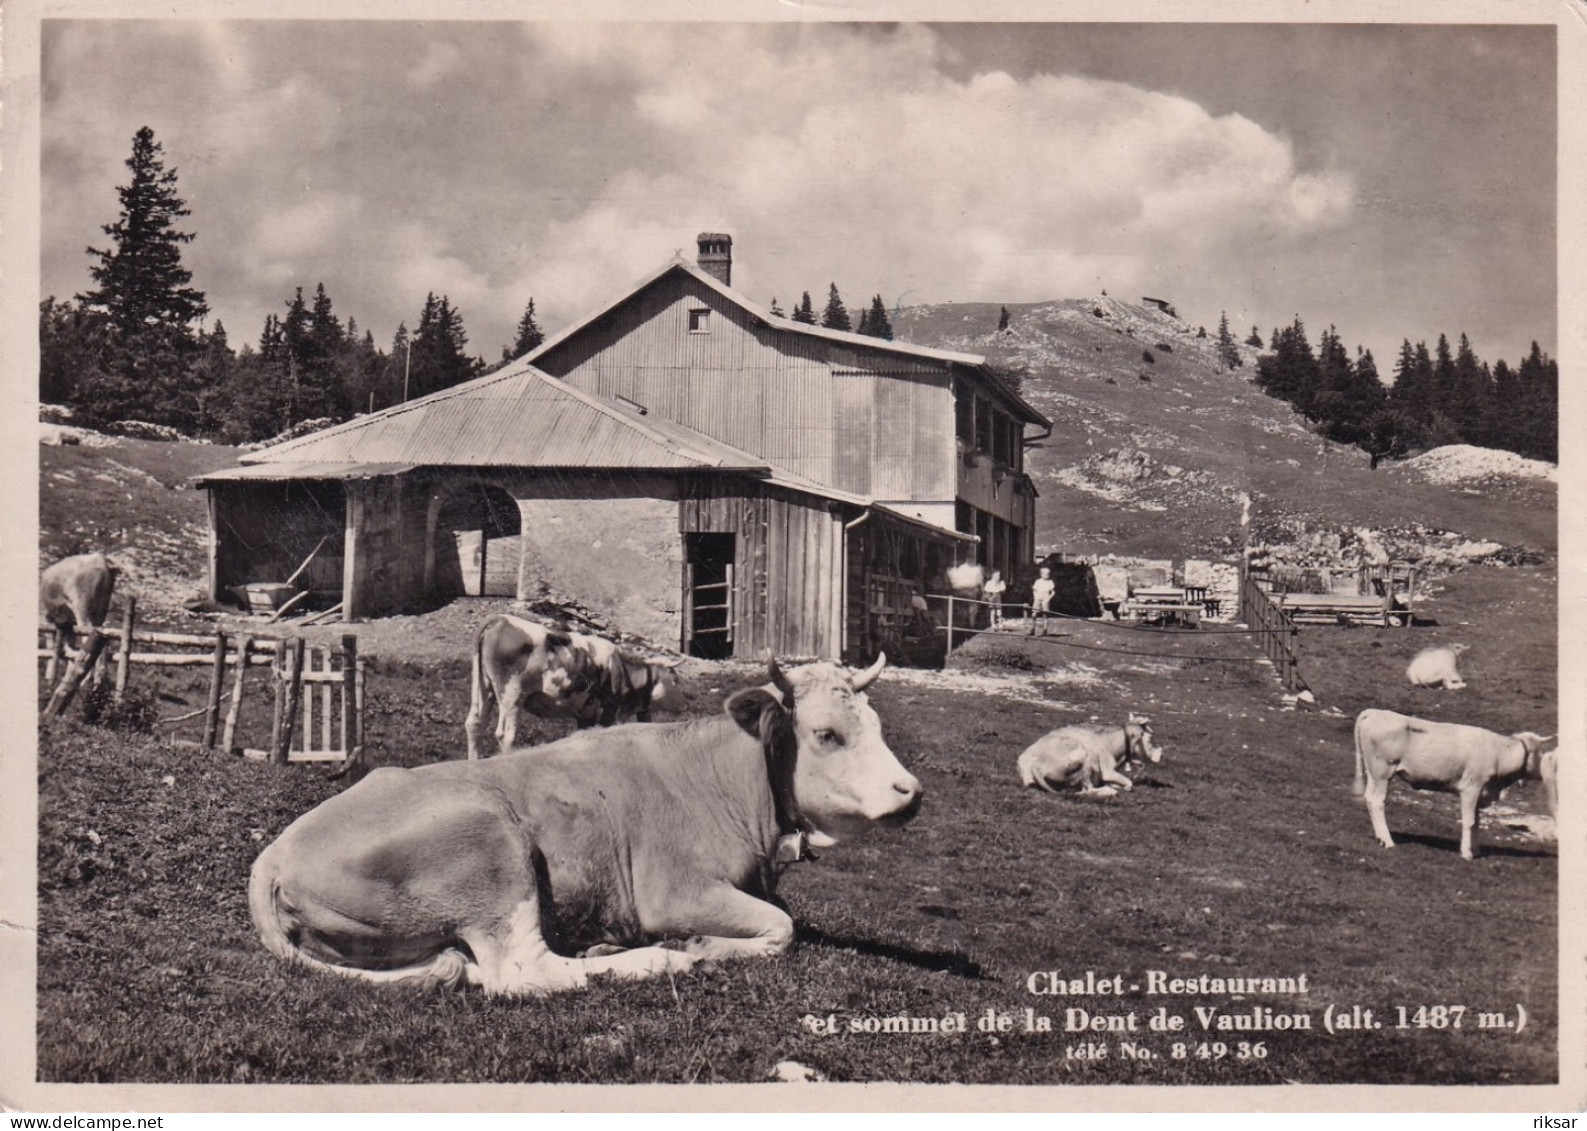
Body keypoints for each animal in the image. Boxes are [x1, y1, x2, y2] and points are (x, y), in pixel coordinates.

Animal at [244, 647, 920, 989]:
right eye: (827, 734)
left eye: (876, 725)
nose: (910, 792)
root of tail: (272, 856)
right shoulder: (673, 892)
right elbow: (783, 928)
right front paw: (696, 944)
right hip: (492, 847)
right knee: (523, 972)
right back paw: (654, 959)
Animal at [463, 609, 679, 758]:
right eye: (676, 680)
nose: (683, 701)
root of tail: (501, 619)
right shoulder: (608, 709)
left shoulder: (586, 713)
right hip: (512, 693)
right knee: (506, 735)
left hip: (484, 687)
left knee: (475, 724)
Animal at [1015, 710, 1168, 799]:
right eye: (1150, 737)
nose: (1161, 756)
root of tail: (1033, 764)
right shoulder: (1107, 770)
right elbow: (1129, 783)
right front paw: (1117, 786)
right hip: (1084, 756)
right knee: (1086, 790)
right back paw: (1108, 790)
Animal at [1345, 704, 1555, 856]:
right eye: (1540, 752)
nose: (1543, 773)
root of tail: (1374, 712)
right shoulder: (1471, 787)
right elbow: (1469, 821)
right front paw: (1466, 853)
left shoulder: (1480, 792)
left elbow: (1477, 821)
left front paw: (1476, 850)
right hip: (1382, 771)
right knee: (1377, 801)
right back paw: (1388, 841)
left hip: (1373, 772)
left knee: (1369, 798)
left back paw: (1380, 837)